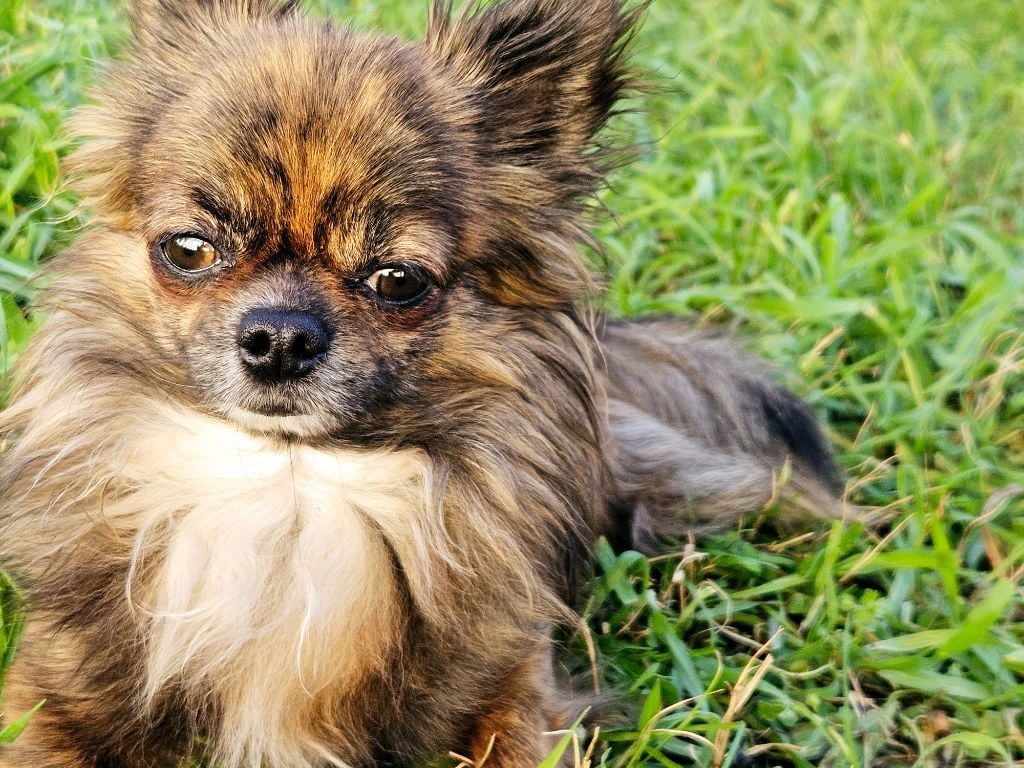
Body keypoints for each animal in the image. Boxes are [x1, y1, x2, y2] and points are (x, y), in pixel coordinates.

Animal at [0, 0, 843, 765]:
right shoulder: (55, 686)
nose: (280, 336)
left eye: (398, 280)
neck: (287, 485)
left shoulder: (514, 680)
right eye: (188, 249)